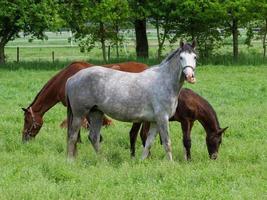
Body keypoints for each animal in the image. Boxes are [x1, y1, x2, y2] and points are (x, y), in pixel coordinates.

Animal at [66, 41, 198, 161]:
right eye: (181, 57)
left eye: (195, 57)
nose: (190, 76)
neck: (164, 81)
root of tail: (72, 78)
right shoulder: (162, 118)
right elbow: (167, 143)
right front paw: (171, 164)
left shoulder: (155, 121)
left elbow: (149, 143)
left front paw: (141, 161)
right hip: (79, 114)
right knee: (72, 136)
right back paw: (70, 161)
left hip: (96, 113)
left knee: (94, 137)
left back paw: (103, 161)